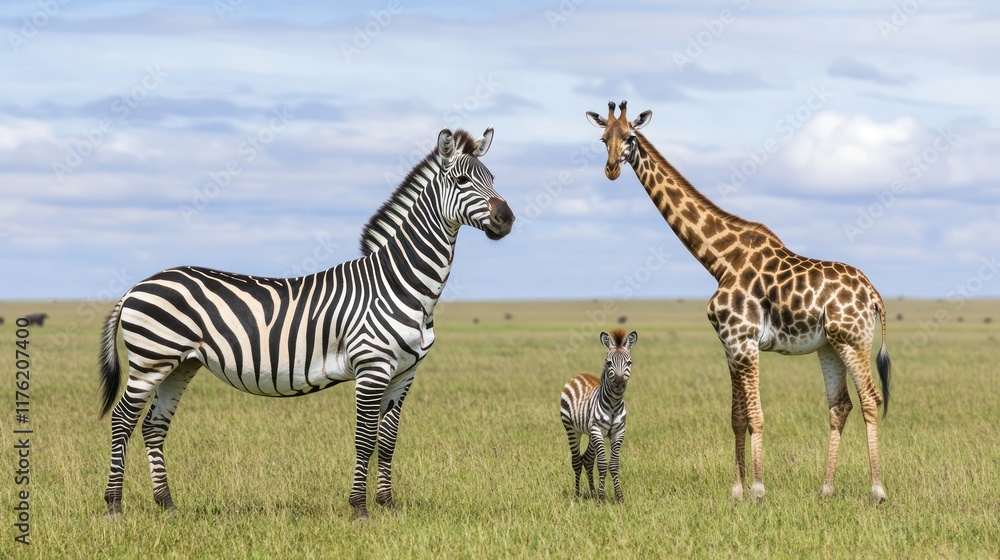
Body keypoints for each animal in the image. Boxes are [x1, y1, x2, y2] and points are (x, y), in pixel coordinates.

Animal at [98, 126, 514, 519]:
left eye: (493, 178)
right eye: (461, 180)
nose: (506, 219)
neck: (400, 284)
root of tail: (137, 285)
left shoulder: (404, 373)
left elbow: (388, 440)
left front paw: (388, 505)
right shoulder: (372, 368)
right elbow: (365, 439)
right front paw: (360, 509)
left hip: (180, 365)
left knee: (153, 427)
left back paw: (167, 505)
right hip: (150, 361)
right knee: (121, 421)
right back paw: (114, 506)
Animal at [560, 328, 637, 502]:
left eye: (629, 363)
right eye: (609, 363)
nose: (619, 384)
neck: (614, 404)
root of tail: (581, 374)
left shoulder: (618, 432)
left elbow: (613, 465)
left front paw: (618, 497)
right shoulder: (597, 430)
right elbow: (602, 464)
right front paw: (602, 499)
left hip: (590, 433)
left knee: (587, 460)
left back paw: (593, 492)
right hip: (572, 429)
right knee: (577, 461)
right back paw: (577, 494)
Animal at [586, 101, 891, 503]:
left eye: (631, 138)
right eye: (604, 138)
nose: (611, 170)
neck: (720, 260)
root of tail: (873, 293)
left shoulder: (745, 341)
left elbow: (756, 415)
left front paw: (759, 489)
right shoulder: (729, 346)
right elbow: (737, 417)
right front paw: (737, 490)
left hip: (853, 340)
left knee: (871, 399)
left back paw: (877, 490)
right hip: (829, 346)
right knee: (840, 405)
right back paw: (826, 489)